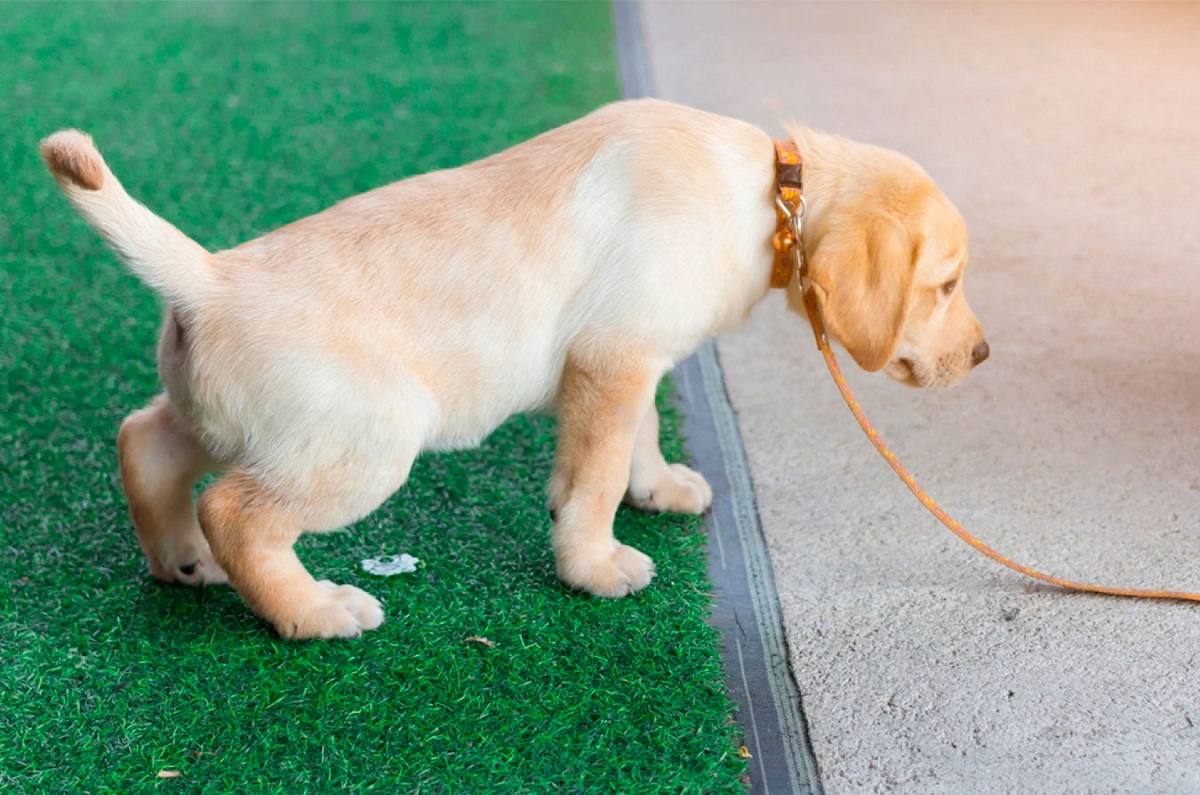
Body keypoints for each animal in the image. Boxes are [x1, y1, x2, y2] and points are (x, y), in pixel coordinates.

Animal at [42, 97, 988, 643]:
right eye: (946, 284)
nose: (982, 354)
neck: (771, 195)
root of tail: (208, 277)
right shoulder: (614, 357)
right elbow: (596, 475)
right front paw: (594, 563)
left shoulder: (627, 360)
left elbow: (636, 437)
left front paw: (655, 489)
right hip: (365, 439)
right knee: (239, 512)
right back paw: (314, 610)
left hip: (223, 414)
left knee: (145, 441)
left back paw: (180, 560)